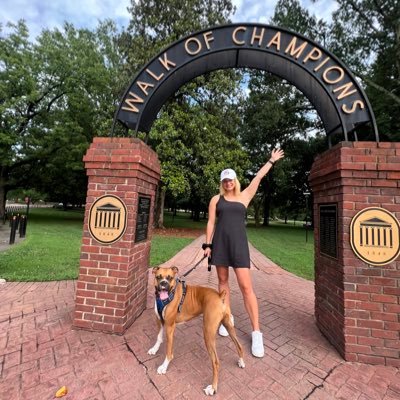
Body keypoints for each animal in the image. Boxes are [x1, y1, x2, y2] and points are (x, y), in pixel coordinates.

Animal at [148, 268, 245, 396]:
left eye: (170, 278)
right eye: (158, 277)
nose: (164, 283)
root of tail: (220, 296)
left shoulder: (169, 327)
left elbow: (168, 351)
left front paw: (164, 367)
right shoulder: (159, 320)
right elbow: (159, 337)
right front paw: (154, 349)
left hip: (208, 333)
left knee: (216, 362)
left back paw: (212, 388)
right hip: (228, 325)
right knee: (239, 345)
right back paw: (241, 361)